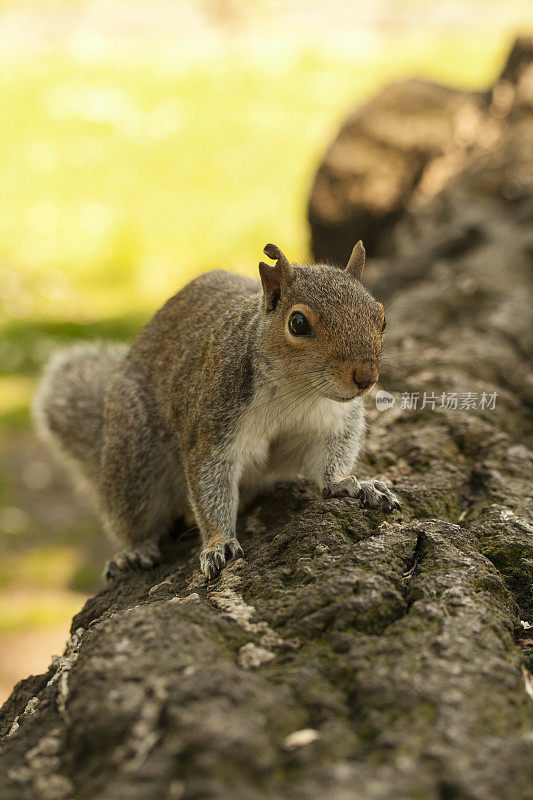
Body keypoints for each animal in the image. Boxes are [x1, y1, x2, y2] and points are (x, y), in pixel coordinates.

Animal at [33, 241, 400, 580]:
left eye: (381, 318)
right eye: (297, 323)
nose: (366, 377)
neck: (297, 393)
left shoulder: (335, 423)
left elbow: (328, 463)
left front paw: (351, 485)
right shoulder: (213, 421)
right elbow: (211, 483)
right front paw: (219, 543)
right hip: (133, 458)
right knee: (135, 517)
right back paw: (135, 551)